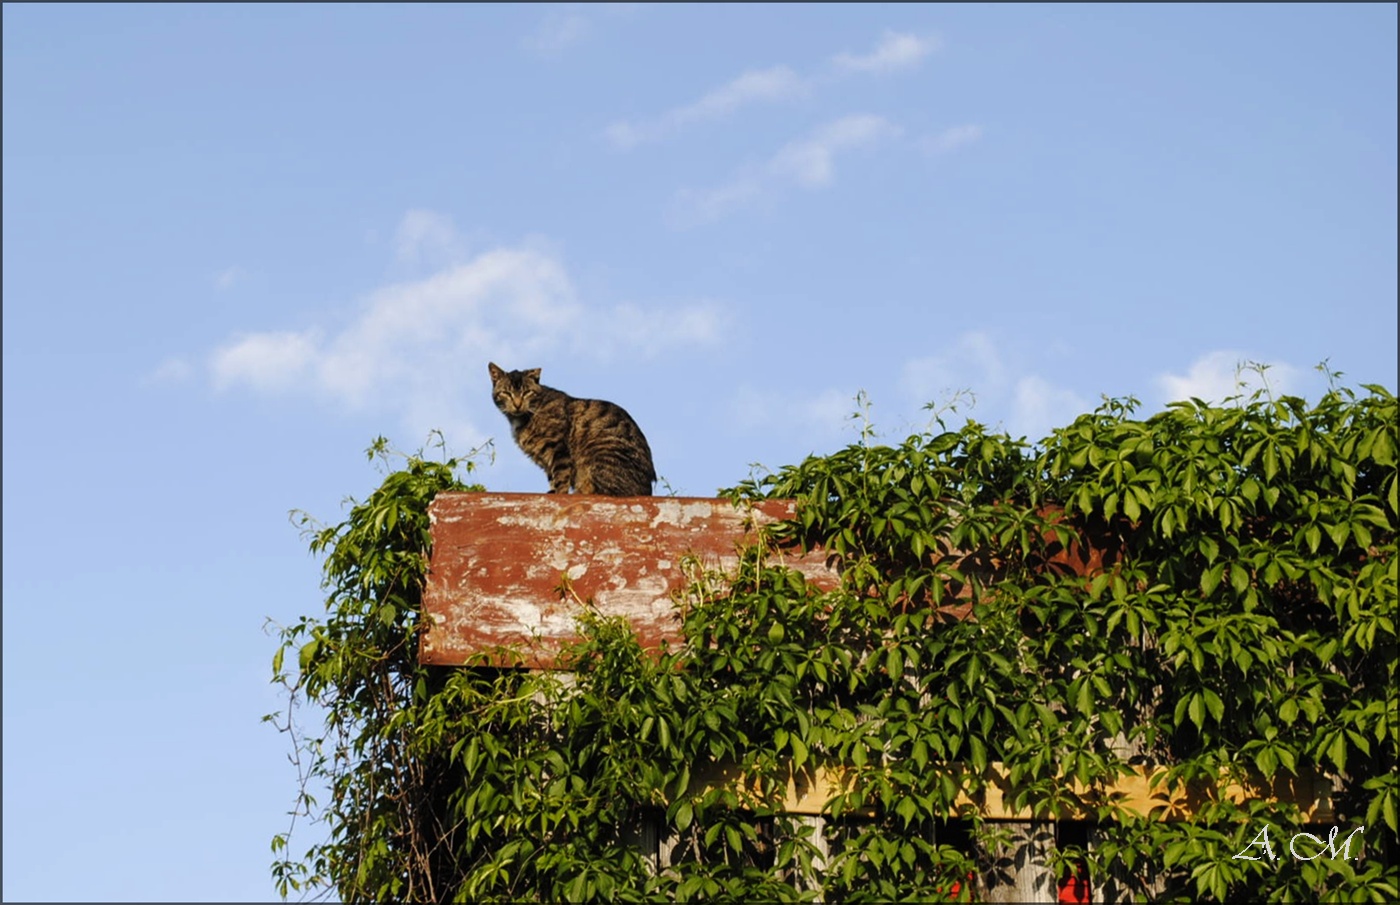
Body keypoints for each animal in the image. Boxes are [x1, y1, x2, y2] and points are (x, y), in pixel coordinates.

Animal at [487, 364, 655, 498]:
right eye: (506, 393)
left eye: (527, 392)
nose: (517, 404)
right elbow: (552, 478)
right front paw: (552, 491)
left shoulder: (558, 448)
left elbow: (561, 477)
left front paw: (559, 493)